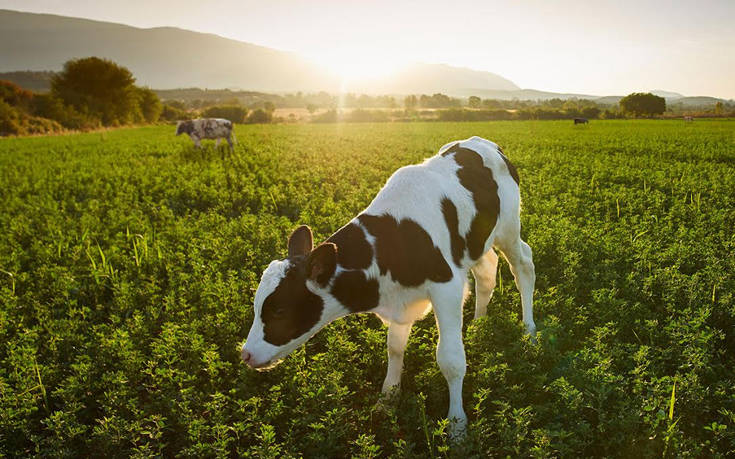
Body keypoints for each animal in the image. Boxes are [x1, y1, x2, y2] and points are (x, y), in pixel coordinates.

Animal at [242, 137, 536, 438]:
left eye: (279, 310)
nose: (245, 354)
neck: (394, 241)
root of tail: (481, 141)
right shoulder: (400, 300)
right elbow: (394, 348)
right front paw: (387, 401)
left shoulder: (448, 287)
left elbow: (451, 361)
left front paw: (457, 426)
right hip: (477, 243)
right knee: (487, 271)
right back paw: (479, 325)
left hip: (509, 227)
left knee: (523, 265)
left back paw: (529, 332)